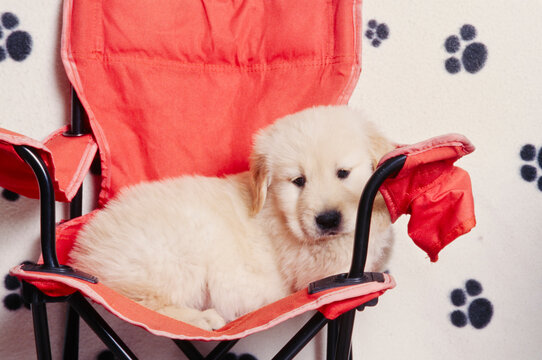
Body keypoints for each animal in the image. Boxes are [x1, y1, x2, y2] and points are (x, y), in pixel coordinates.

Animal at [70, 105, 398, 330]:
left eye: (343, 173)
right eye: (298, 181)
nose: (327, 219)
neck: (275, 208)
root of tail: (84, 252)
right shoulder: (315, 272)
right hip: (177, 256)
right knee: (146, 304)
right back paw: (202, 319)